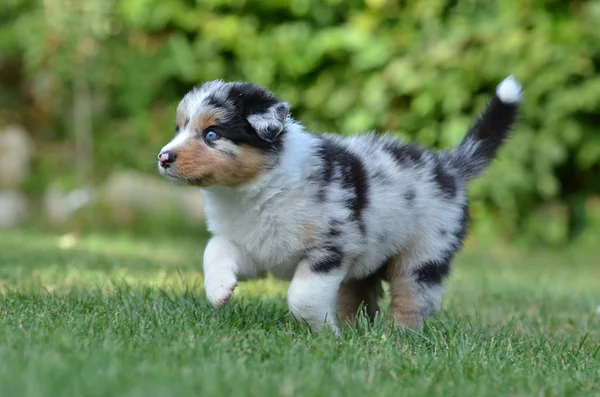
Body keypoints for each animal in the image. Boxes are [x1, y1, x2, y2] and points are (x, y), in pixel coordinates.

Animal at [157, 74, 524, 332]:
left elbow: (301, 297)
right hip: (366, 262)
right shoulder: (255, 245)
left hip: (424, 252)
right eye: (178, 128)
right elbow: (215, 248)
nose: (163, 157)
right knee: (361, 297)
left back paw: (397, 338)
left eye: (212, 134)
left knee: (411, 299)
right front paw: (219, 290)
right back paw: (354, 333)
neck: (251, 192)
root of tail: (447, 165)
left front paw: (323, 333)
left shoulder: (331, 247)